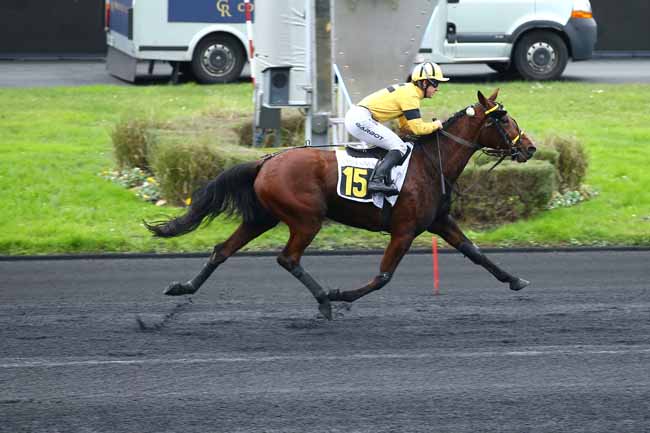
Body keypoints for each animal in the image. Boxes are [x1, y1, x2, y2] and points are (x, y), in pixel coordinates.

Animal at [147, 88, 536, 318]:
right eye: (503, 118)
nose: (530, 147)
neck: (430, 163)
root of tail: (266, 161)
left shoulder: (439, 221)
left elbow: (476, 253)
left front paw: (515, 279)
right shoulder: (405, 229)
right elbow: (382, 276)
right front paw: (341, 295)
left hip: (263, 218)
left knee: (221, 250)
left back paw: (182, 287)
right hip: (306, 219)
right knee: (288, 258)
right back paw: (323, 300)